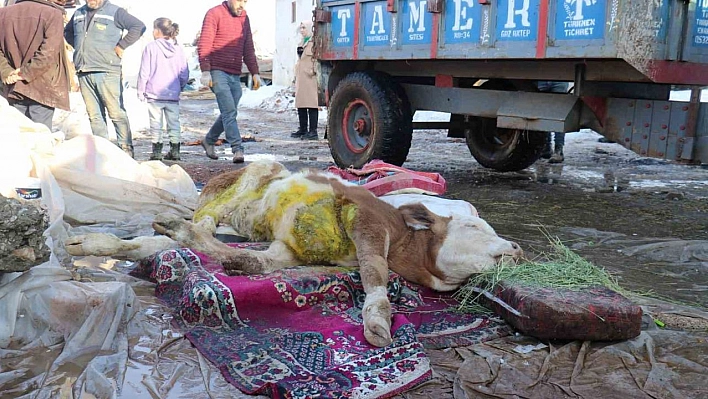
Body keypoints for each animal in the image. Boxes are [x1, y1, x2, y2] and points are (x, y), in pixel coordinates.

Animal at [65, 161, 520, 348]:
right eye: (475, 228)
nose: (515, 248)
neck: (403, 243)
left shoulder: (288, 248)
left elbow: (265, 261)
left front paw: (239, 263)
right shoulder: (367, 219)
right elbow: (375, 274)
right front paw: (377, 323)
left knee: (156, 244)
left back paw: (91, 245)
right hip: (250, 176)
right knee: (201, 225)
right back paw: (178, 227)